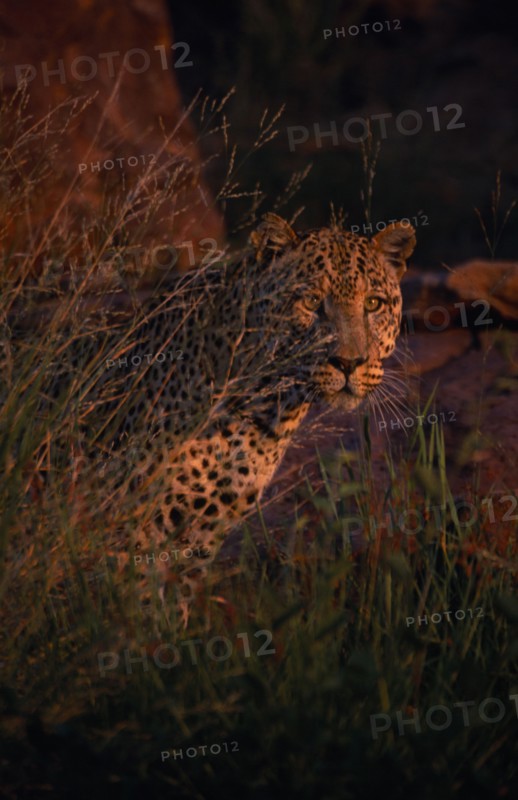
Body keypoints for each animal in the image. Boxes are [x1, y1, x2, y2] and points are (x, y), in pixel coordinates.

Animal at [44, 212, 416, 623]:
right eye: (311, 302)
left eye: (374, 303)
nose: (349, 363)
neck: (269, 409)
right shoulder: (132, 522)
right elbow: (139, 605)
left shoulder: (204, 531)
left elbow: (173, 606)